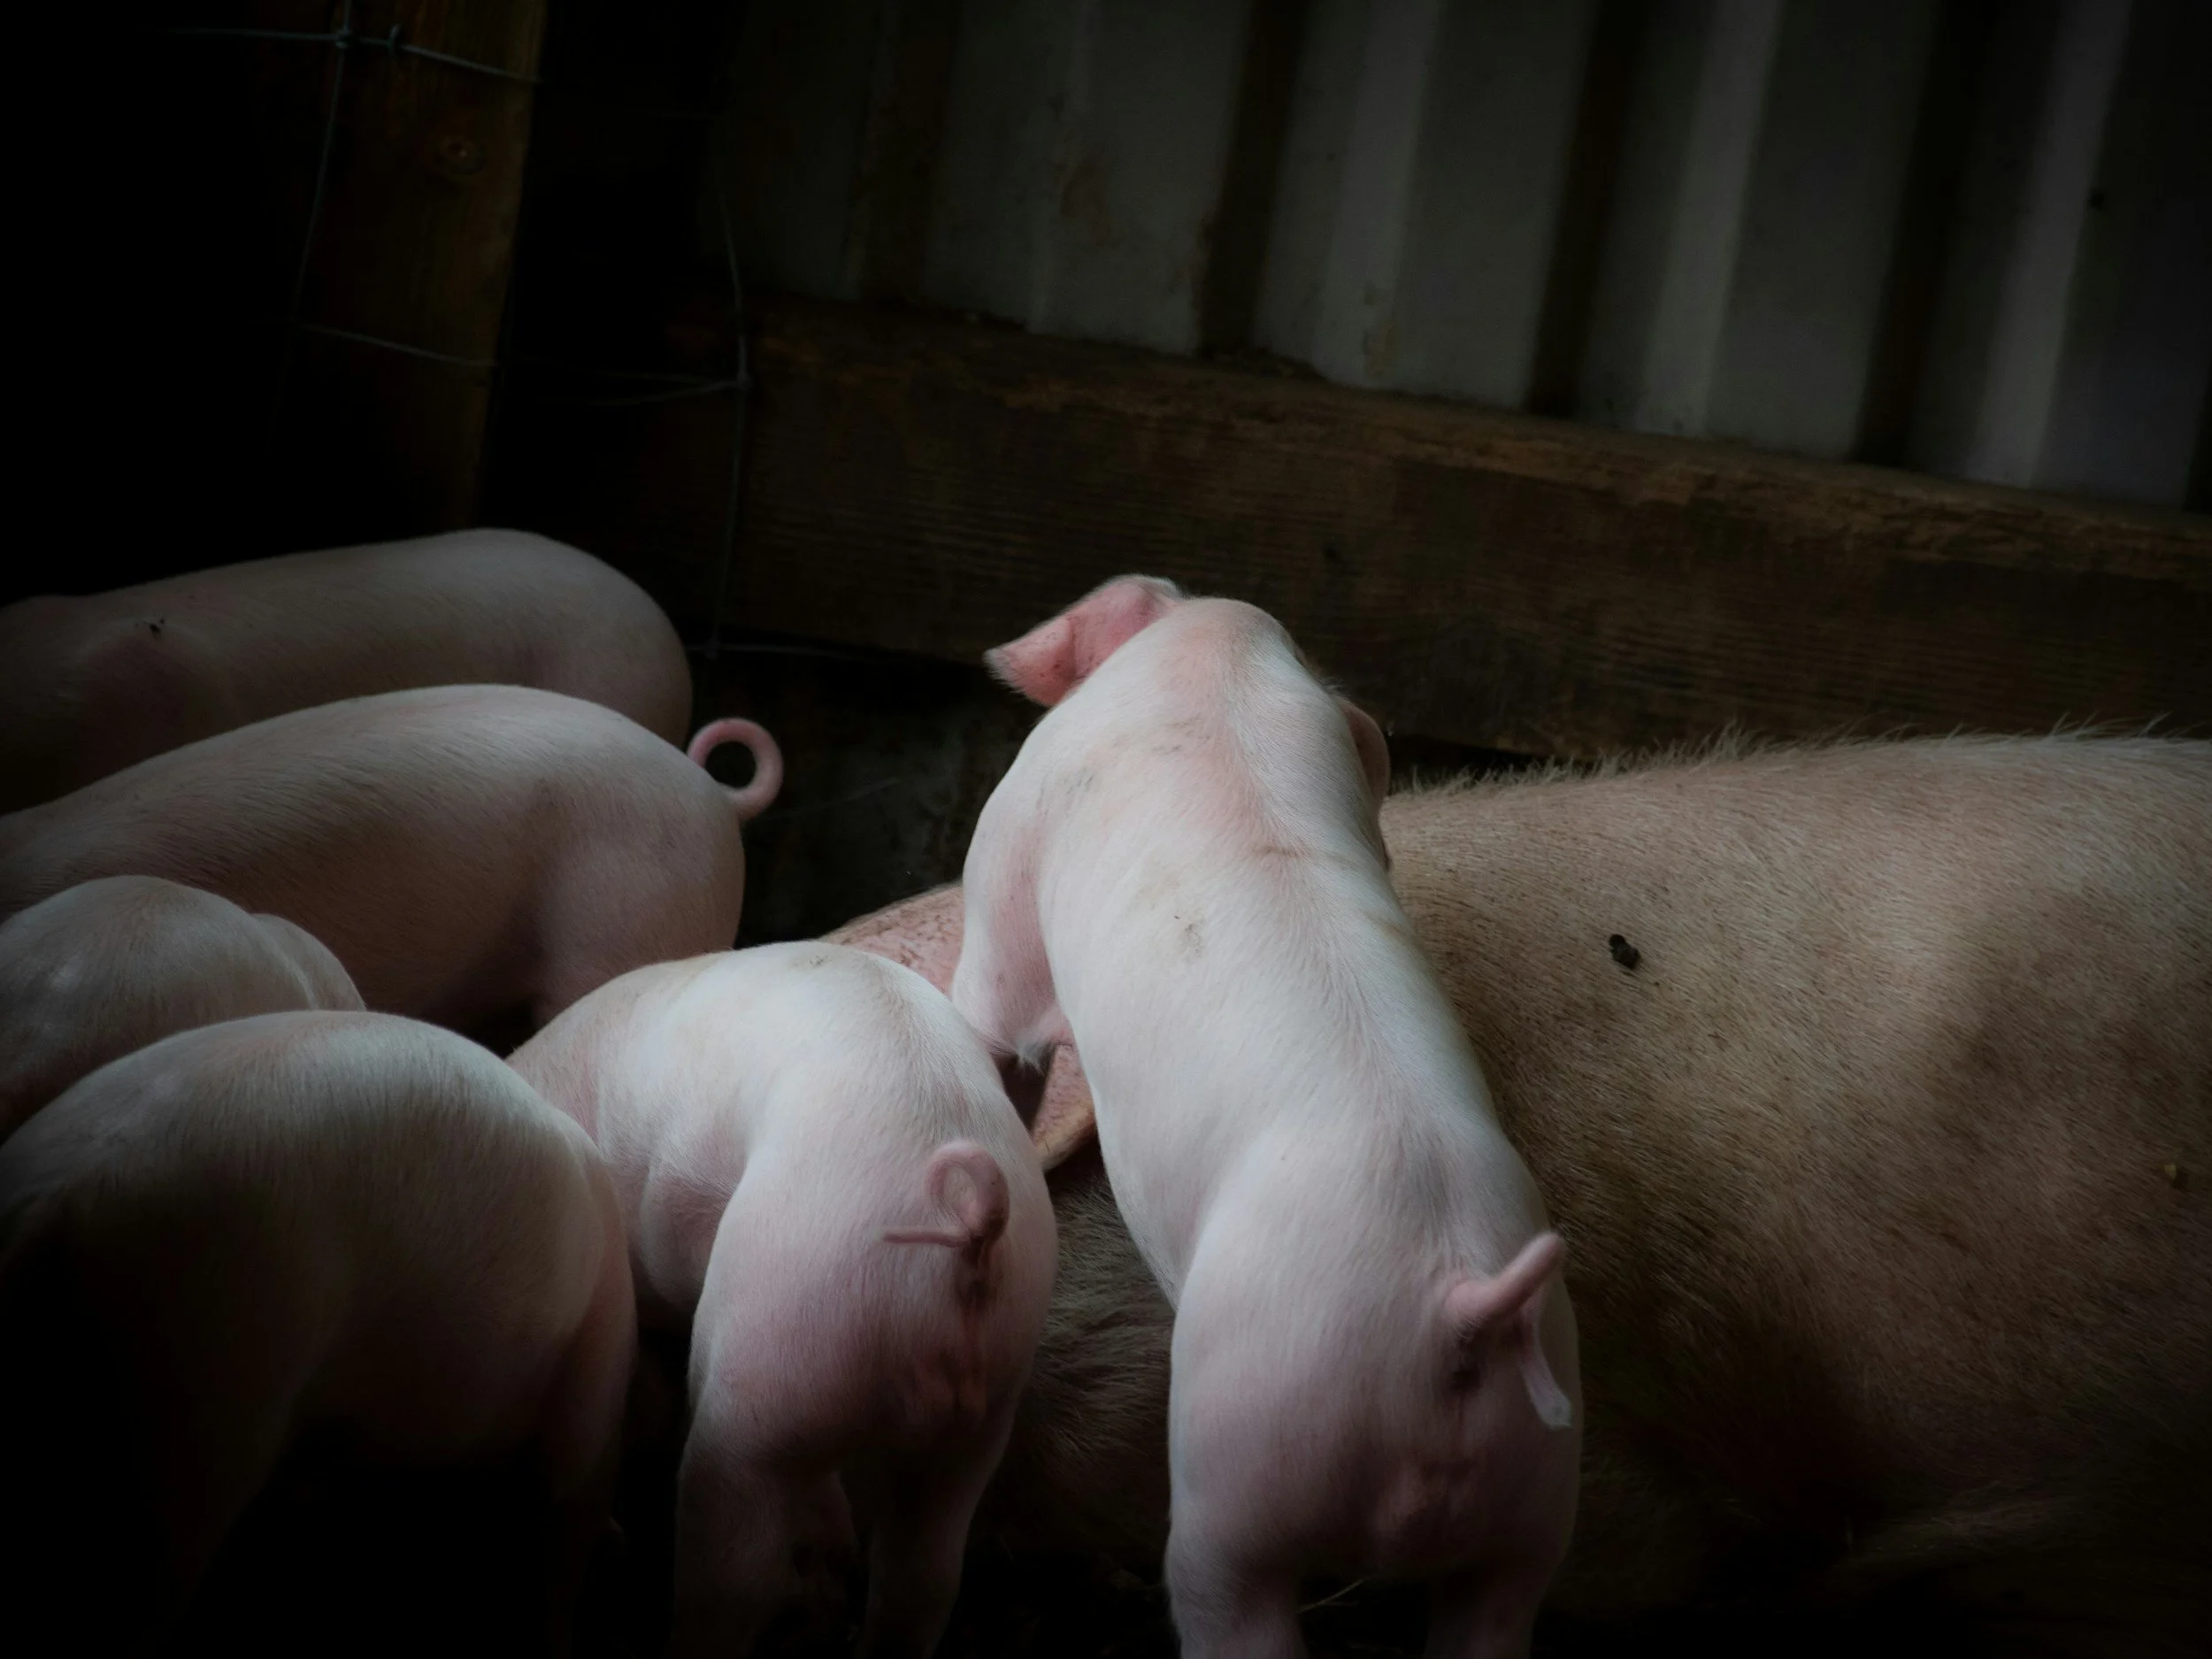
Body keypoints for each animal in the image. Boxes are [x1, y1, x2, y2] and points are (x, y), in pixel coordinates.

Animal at [952, 577, 1581, 1658]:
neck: (1220, 684)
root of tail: (1458, 1307)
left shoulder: (1012, 865)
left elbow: (992, 1018)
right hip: (1531, 1505)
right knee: (1495, 1608)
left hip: (1250, 1463)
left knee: (1222, 1588)